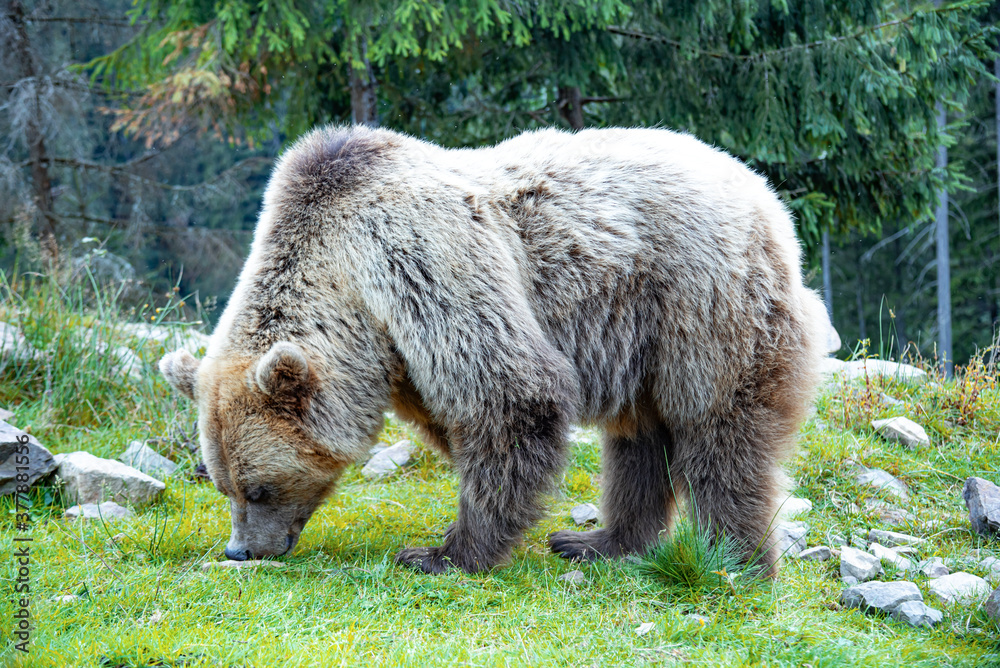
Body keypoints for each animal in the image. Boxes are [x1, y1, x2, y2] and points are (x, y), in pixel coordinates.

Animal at [159, 124, 827, 576]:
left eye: (259, 489)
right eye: (221, 484)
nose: (241, 550)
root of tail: (762, 191)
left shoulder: (416, 260)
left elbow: (511, 396)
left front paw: (441, 552)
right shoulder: (399, 352)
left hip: (703, 302)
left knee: (721, 431)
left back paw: (733, 559)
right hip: (638, 339)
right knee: (639, 436)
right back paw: (598, 542)